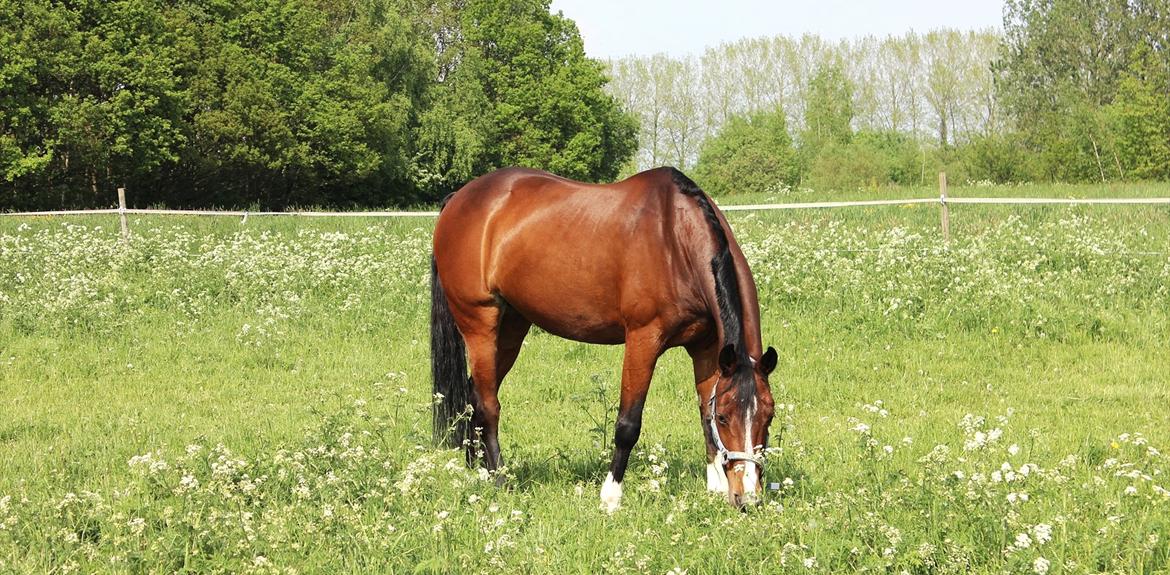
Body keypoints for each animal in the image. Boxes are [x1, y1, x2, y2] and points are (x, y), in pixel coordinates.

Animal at [430, 166, 777, 510]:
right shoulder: (643, 339)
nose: (747, 497)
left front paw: (714, 487)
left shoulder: (705, 348)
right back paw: (500, 479)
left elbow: (703, 414)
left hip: (513, 326)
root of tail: (458, 199)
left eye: (769, 417)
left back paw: (478, 470)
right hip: (480, 324)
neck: (675, 239)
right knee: (488, 405)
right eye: (725, 417)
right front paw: (610, 496)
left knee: (475, 395)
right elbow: (628, 424)